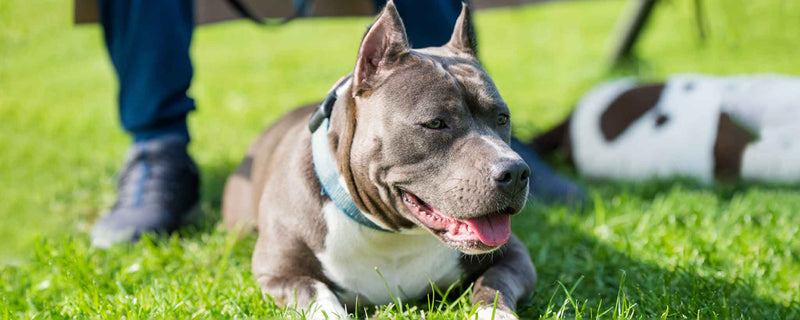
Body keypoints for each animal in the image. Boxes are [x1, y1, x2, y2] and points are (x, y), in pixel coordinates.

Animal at [223, 1, 536, 318]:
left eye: (502, 118)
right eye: (436, 123)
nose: (515, 172)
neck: (390, 236)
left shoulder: (515, 256)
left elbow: (494, 285)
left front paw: (496, 312)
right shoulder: (278, 273)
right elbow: (316, 292)